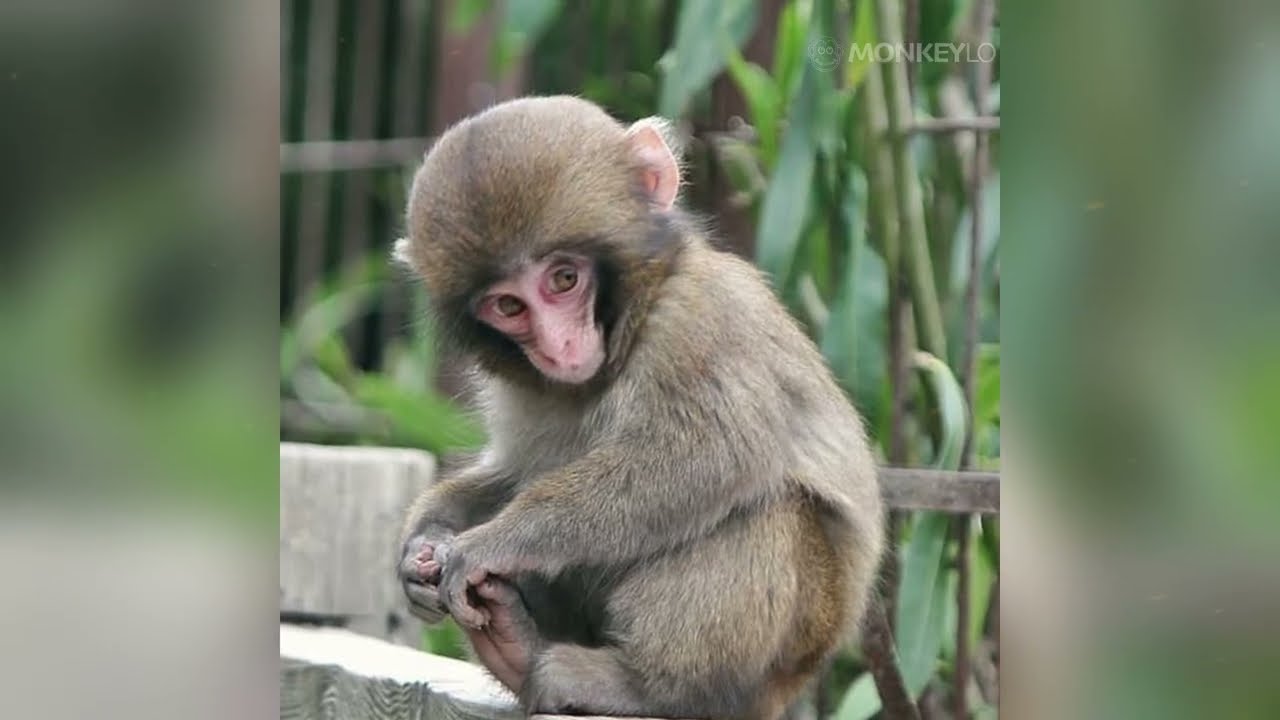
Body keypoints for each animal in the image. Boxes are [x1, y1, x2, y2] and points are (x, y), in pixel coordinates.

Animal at [393, 95, 884, 720]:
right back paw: (514, 643)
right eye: (508, 306)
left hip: (791, 648)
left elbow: (706, 457)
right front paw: (424, 535)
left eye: (563, 279)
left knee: (768, 508)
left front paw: (499, 540)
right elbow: (514, 471)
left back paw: (647, 686)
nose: (560, 347)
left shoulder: (700, 319)